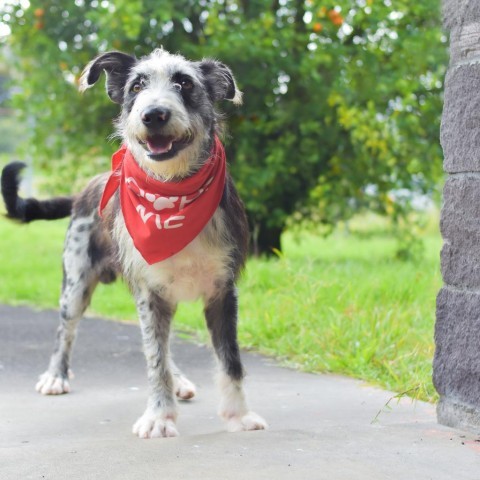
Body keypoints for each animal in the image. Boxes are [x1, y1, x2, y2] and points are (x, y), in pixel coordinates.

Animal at [0, 49, 266, 438]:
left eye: (184, 83)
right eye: (136, 86)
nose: (153, 114)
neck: (170, 191)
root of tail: (86, 188)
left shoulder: (222, 291)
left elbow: (229, 359)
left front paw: (238, 415)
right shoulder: (149, 292)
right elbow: (155, 358)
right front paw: (159, 417)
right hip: (75, 284)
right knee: (66, 329)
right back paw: (55, 375)